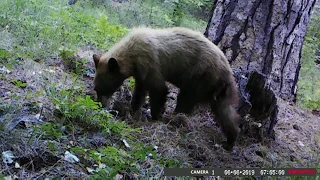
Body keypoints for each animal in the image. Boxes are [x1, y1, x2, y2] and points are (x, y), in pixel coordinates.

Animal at [92, 26, 240, 150]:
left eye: (103, 89)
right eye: (96, 89)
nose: (99, 105)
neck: (132, 53)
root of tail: (228, 72)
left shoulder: (150, 62)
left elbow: (158, 89)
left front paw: (156, 115)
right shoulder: (141, 72)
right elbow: (140, 91)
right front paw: (133, 109)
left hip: (201, 76)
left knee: (186, 99)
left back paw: (175, 118)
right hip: (215, 88)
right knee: (224, 111)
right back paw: (230, 140)